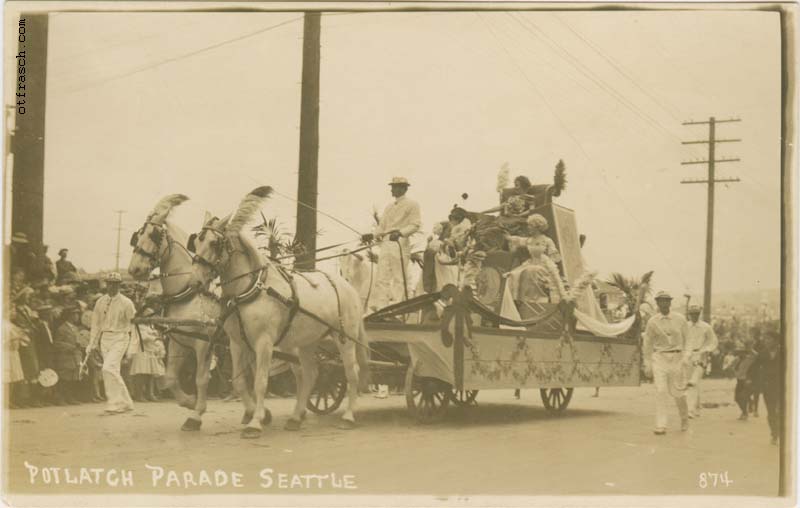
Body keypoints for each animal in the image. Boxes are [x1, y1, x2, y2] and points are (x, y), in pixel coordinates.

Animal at [128, 194, 222, 428]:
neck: (188, 294)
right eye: (137, 236)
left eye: (153, 235)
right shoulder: (180, 342)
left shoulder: (204, 344)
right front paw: (190, 401)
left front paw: (196, 414)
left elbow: (201, 379)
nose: (134, 269)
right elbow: (169, 377)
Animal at [189, 187, 370, 436]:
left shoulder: (264, 342)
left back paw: (349, 416)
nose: (195, 282)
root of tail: (348, 287)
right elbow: (239, 382)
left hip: (345, 338)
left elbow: (261, 382)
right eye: (196, 241)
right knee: (310, 374)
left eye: (216, 243)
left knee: (352, 372)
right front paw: (257, 414)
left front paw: (255, 421)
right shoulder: (237, 343)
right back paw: (295, 417)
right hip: (307, 341)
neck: (251, 288)